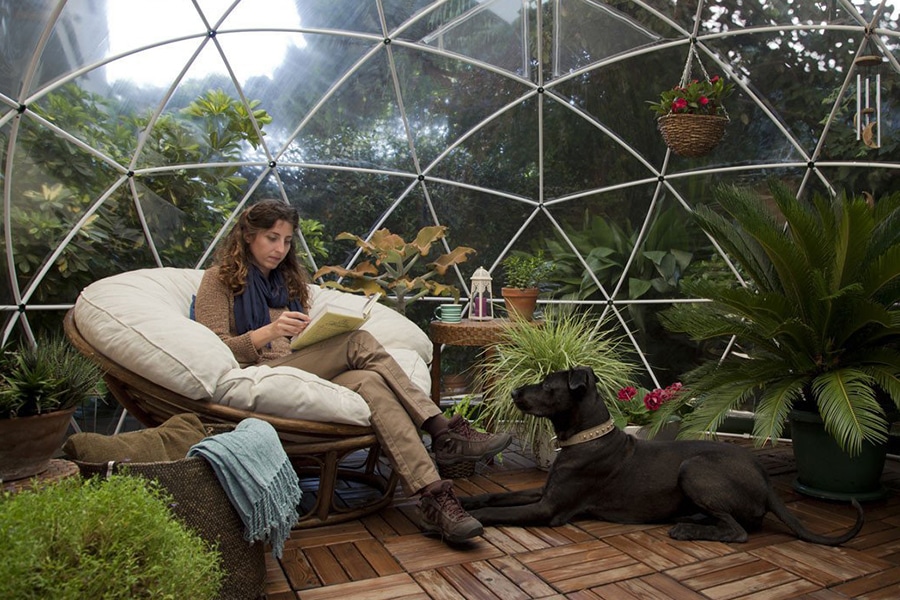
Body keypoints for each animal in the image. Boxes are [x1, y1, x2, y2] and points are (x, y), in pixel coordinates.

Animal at [464, 364, 864, 548]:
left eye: (548, 385)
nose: (513, 392)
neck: (586, 437)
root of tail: (766, 483)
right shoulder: (544, 491)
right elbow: (497, 496)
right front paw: (466, 502)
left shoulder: (548, 508)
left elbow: (498, 512)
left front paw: (472, 518)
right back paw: (693, 518)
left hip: (695, 468)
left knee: (738, 532)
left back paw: (688, 528)